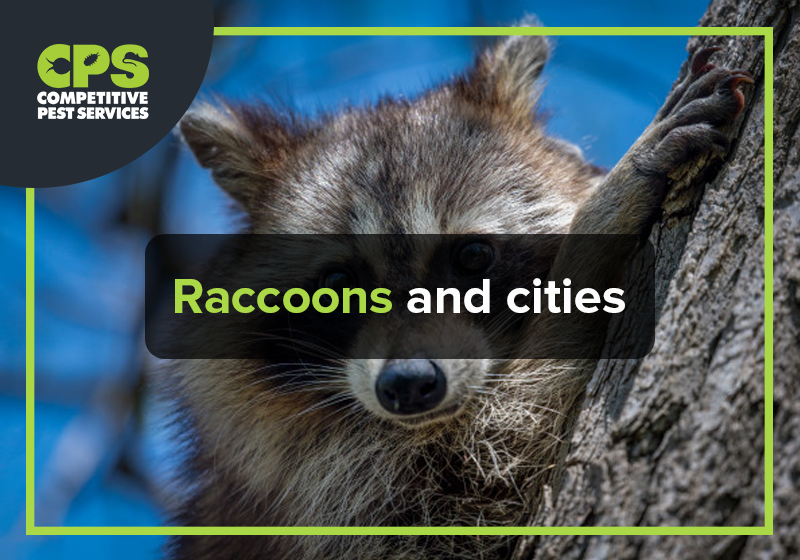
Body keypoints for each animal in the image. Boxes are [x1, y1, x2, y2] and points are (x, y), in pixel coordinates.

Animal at [163, 29, 751, 560]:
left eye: (471, 257)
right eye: (338, 286)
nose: (408, 385)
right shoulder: (325, 491)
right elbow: (492, 470)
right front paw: (605, 213)